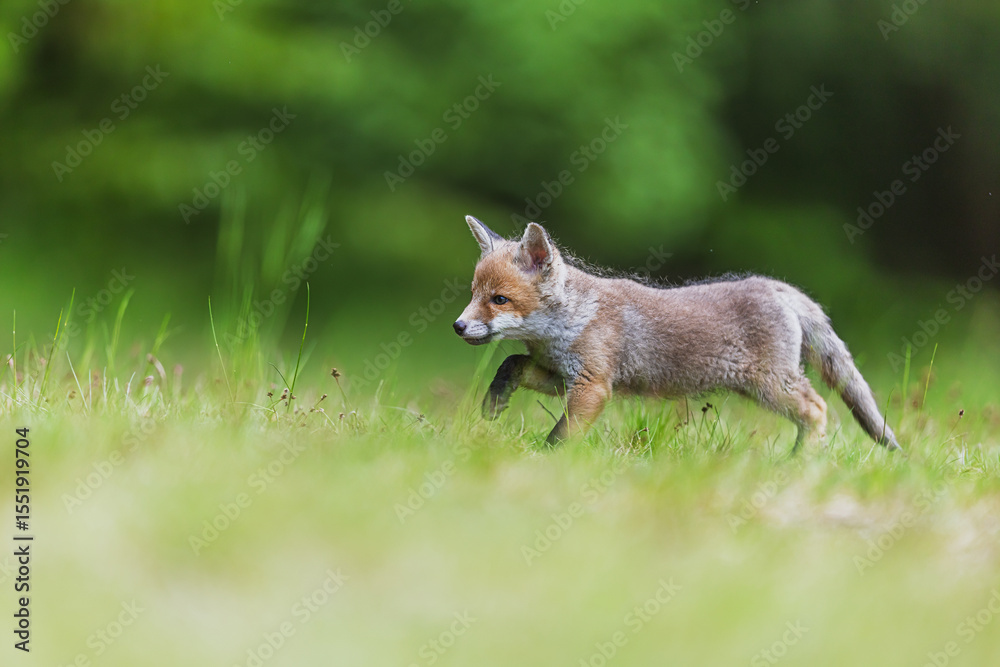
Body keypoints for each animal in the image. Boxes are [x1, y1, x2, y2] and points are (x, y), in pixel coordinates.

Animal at [453, 215, 901, 453]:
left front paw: (545, 462)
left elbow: (562, 435)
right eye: (473, 294)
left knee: (818, 409)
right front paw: (494, 403)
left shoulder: (593, 386)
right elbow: (512, 363)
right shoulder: (564, 376)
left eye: (499, 300)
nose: (457, 326)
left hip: (772, 386)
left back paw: (800, 461)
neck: (568, 324)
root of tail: (775, 285)